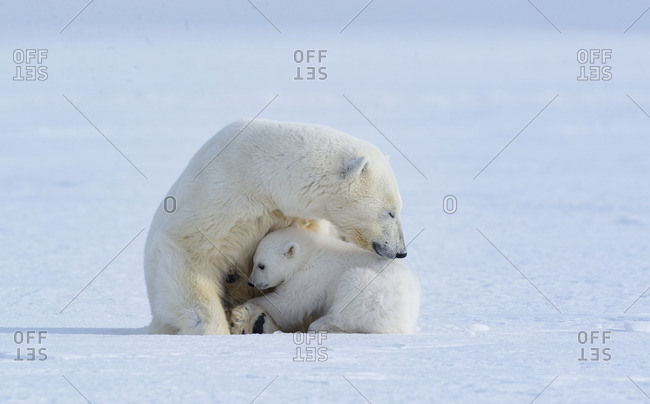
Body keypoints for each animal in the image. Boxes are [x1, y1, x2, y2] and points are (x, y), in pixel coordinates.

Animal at [229, 226, 420, 334]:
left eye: (261, 265)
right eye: (253, 261)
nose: (251, 282)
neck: (309, 254)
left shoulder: (312, 277)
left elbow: (289, 303)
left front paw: (243, 309)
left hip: (374, 291)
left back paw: (321, 325)